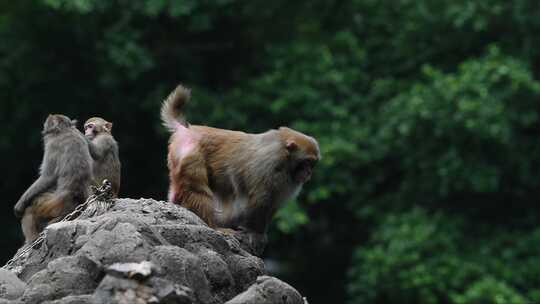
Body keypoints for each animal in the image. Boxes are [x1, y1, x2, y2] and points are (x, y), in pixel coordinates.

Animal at [14, 114, 94, 242]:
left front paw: (20, 205)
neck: (64, 130)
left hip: (53, 204)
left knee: (31, 208)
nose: (44, 129)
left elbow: (47, 176)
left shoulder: (52, 145)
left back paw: (32, 240)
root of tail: (75, 193)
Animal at [160, 84, 320, 234]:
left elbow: (272, 203)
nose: (308, 172)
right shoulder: (268, 164)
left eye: (312, 164)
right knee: (197, 188)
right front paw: (254, 232)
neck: (284, 155)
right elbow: (259, 199)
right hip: (191, 153)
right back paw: (214, 226)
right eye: (306, 162)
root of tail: (187, 130)